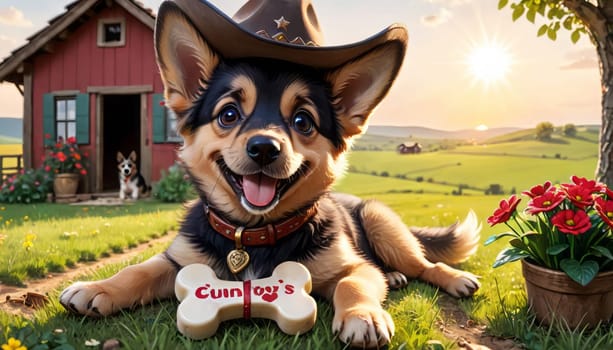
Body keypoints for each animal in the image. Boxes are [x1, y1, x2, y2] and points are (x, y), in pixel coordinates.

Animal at [59, 0, 480, 348]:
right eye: (229, 114)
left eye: (303, 121)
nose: (264, 148)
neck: (252, 234)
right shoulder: (178, 261)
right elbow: (137, 270)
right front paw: (98, 288)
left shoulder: (353, 266)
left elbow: (354, 283)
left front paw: (363, 315)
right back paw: (393, 277)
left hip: (381, 223)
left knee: (423, 263)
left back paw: (447, 278)